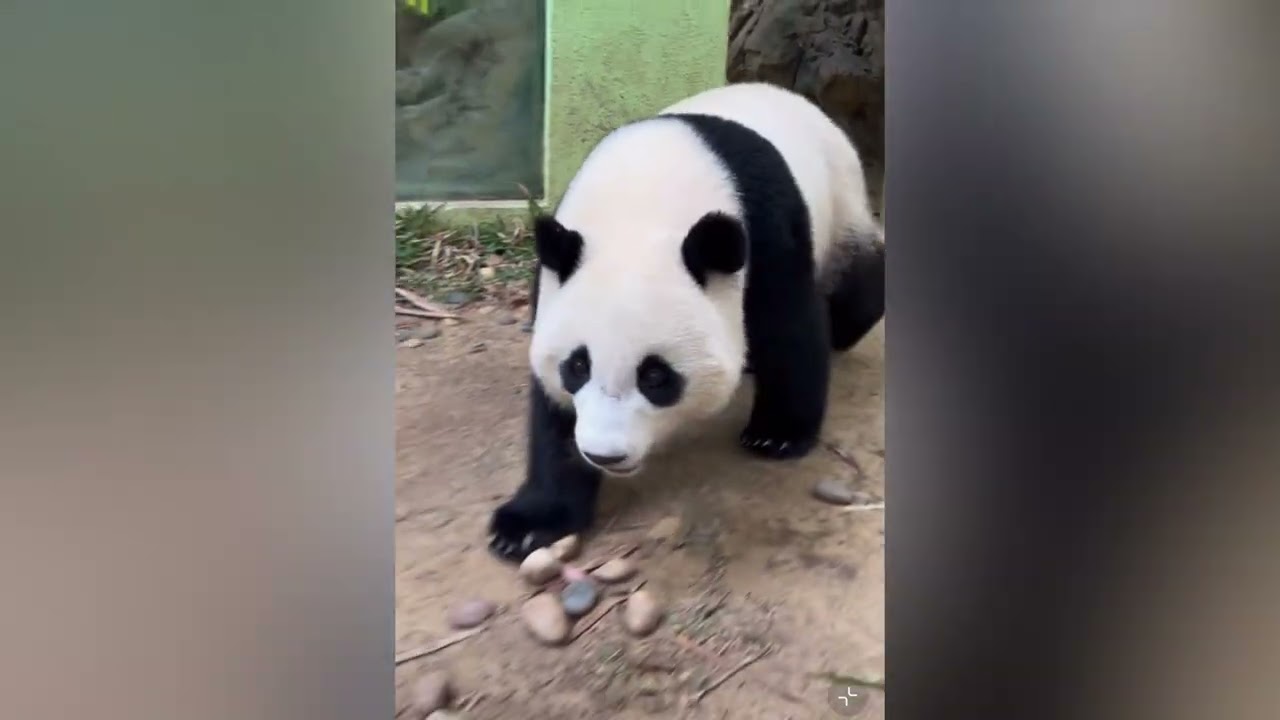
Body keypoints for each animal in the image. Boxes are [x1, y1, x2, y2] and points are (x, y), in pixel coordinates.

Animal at [489, 82, 885, 561]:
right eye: (576, 367)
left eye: (656, 376)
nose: (604, 455)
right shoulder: (557, 273)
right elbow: (552, 413)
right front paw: (529, 523)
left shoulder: (766, 232)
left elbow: (791, 329)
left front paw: (777, 434)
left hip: (840, 202)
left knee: (855, 285)